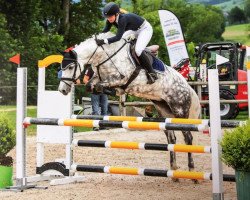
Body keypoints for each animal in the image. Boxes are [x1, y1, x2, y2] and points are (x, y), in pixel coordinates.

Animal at [58, 32, 201, 180]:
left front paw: (114, 91)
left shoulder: (121, 78)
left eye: (70, 67)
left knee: (188, 137)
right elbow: (91, 86)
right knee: (171, 138)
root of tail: (188, 86)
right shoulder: (98, 78)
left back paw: (192, 172)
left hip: (179, 110)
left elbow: (102, 85)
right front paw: (109, 91)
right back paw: (174, 172)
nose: (62, 90)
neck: (104, 55)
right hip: (164, 110)